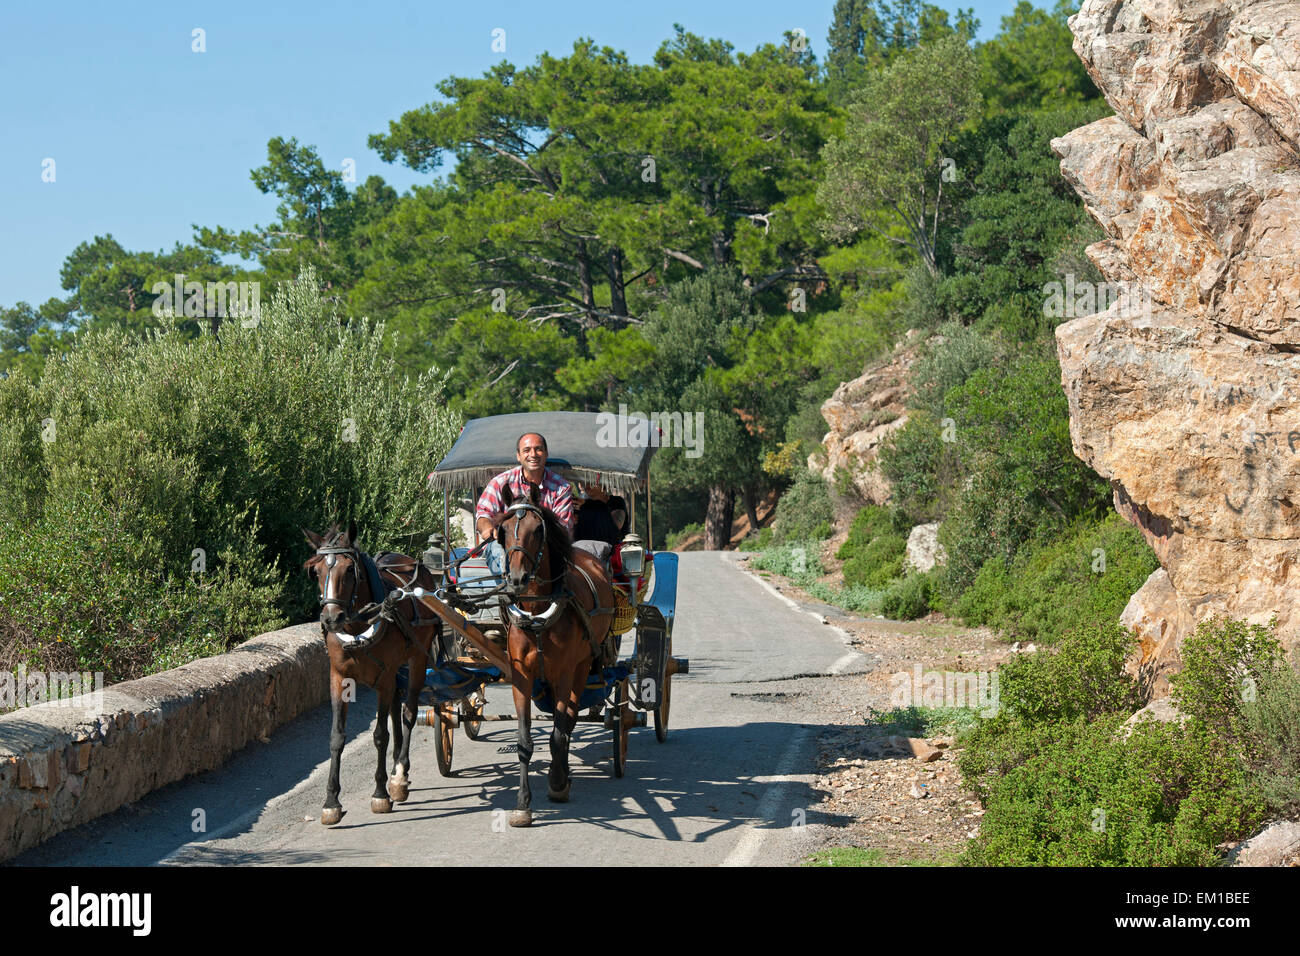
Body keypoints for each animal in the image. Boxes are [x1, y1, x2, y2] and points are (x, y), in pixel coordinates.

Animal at [301, 520, 444, 827]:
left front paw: (380, 794)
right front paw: (331, 802)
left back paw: (399, 775)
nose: (330, 618)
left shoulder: (385, 678)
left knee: (408, 712)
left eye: (348, 569)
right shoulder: (338, 678)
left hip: (416, 659)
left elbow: (380, 734)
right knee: (396, 710)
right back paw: (397, 771)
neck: (358, 626)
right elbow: (336, 737)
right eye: (315, 571)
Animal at [496, 481, 618, 827]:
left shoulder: (564, 672)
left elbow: (558, 734)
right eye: (502, 531)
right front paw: (523, 804)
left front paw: (558, 782)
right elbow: (525, 741)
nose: (517, 580)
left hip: (582, 666)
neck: (538, 613)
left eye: (539, 530)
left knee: (569, 721)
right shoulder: (521, 675)